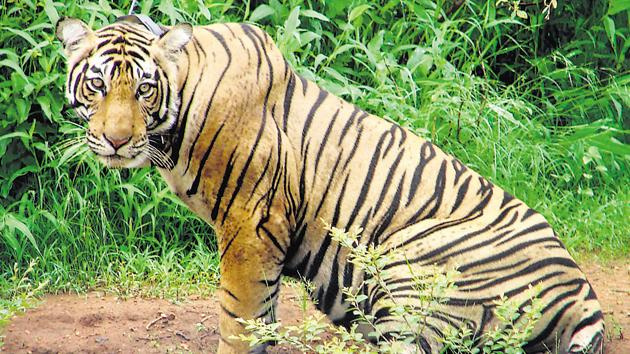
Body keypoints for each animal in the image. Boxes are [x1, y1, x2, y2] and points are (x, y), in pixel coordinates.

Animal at [58, 14, 608, 354]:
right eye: (97, 84)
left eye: (144, 90)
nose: (115, 140)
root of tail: (582, 291)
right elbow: (263, 314)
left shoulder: (249, 227)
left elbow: (238, 319)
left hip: (408, 268)